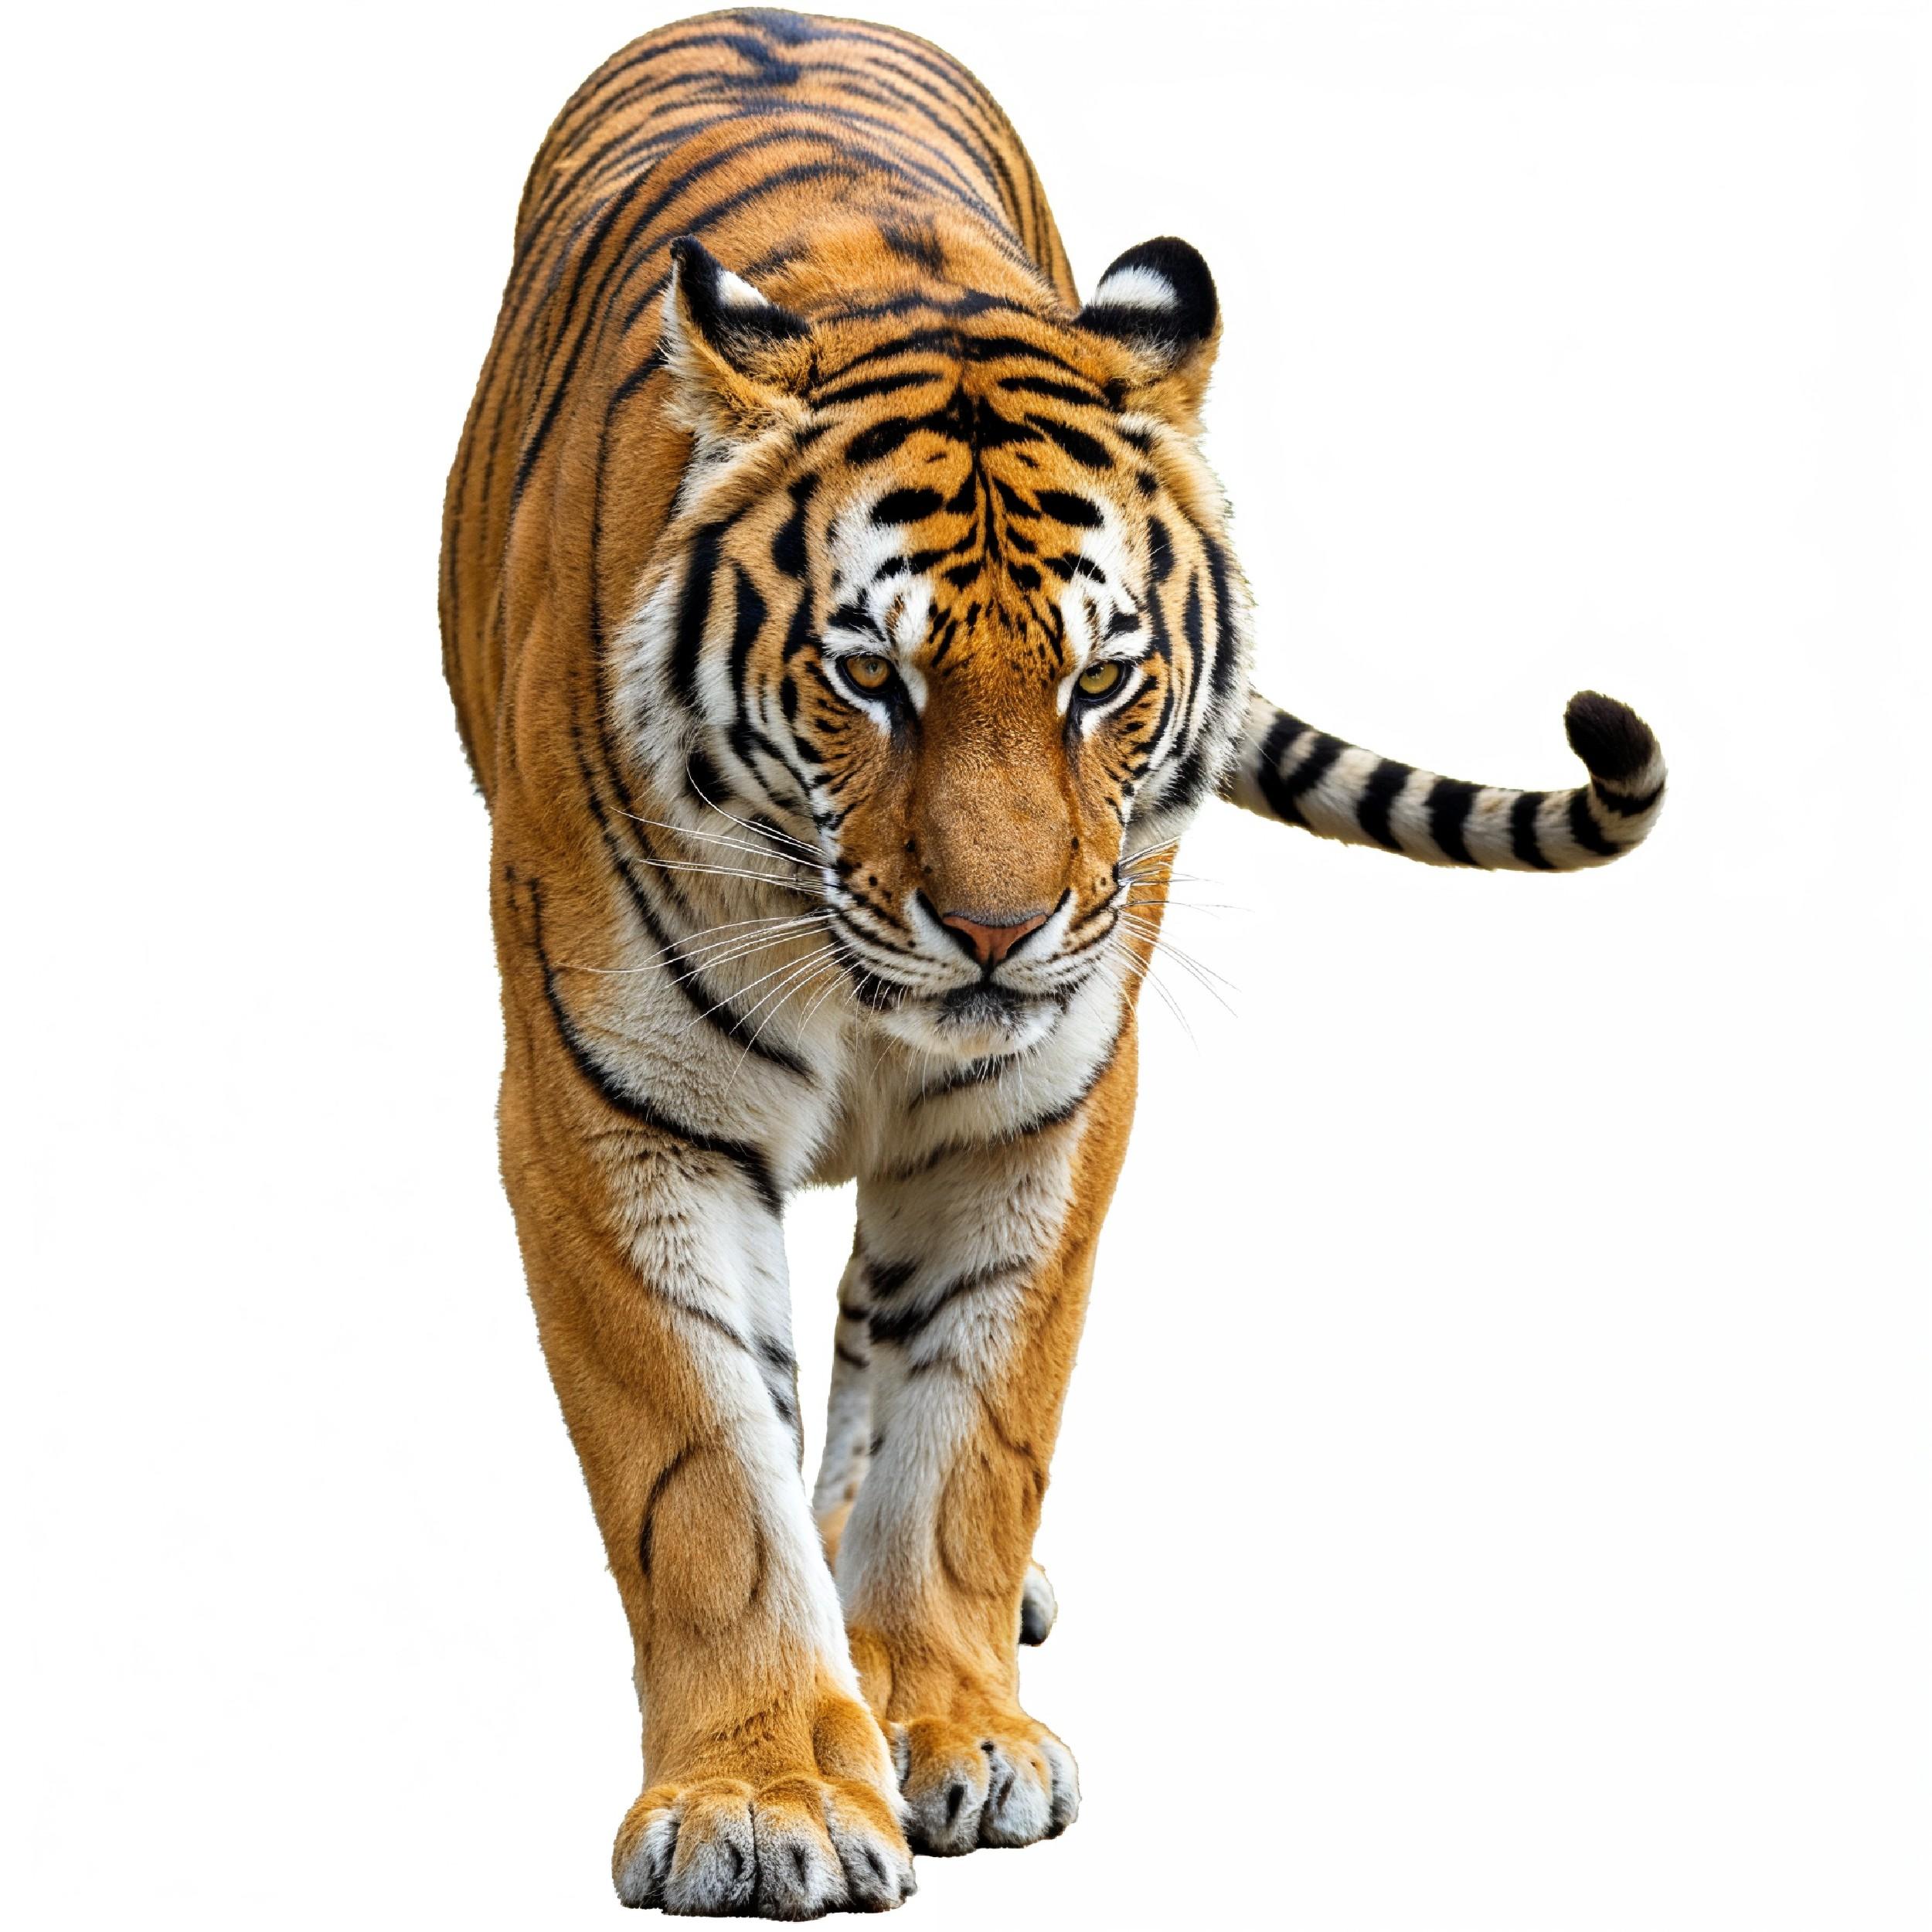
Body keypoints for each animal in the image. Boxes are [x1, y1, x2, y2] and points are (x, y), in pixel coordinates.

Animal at [439, 7, 1666, 1916]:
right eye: (870, 678)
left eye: (1099, 679)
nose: (1000, 930)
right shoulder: (602, 1104)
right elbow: (696, 1464)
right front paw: (765, 1794)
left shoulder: (1047, 1096)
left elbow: (973, 1425)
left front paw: (953, 1723)